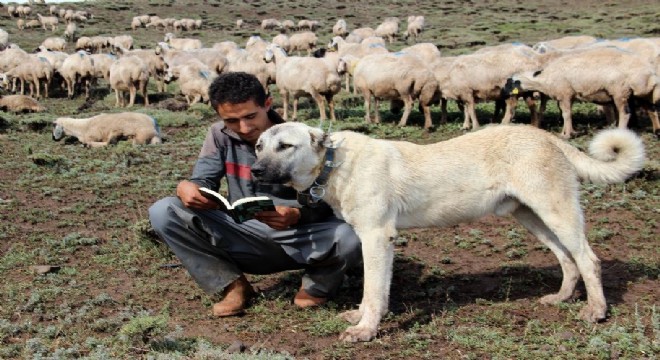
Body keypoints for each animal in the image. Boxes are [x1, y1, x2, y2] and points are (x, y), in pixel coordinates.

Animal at [251, 122, 644, 342]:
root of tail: (544, 135)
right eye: (258, 146)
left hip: (556, 211)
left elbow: (374, 291)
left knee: (588, 259)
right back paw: (561, 298)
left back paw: (596, 311)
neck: (333, 162)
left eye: (285, 146)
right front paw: (360, 317)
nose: (254, 170)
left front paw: (366, 330)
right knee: (567, 258)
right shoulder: (371, 239)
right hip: (532, 217)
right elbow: (371, 292)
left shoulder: (378, 237)